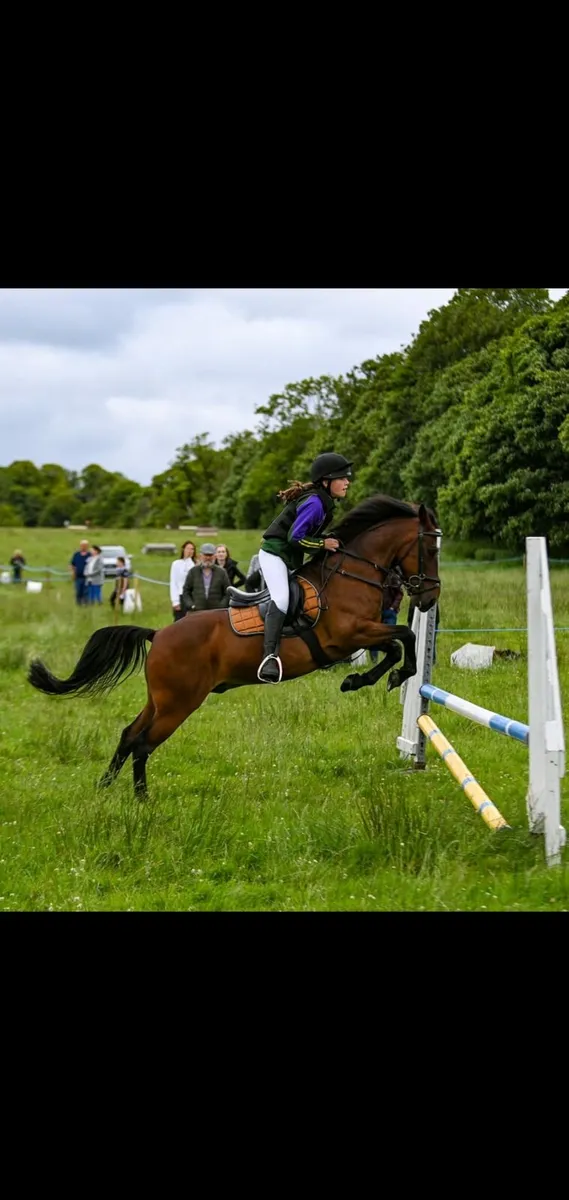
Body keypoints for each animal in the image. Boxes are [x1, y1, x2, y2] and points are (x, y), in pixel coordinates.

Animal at [28, 495, 441, 798]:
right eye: (432, 550)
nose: (430, 597)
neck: (348, 577)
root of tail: (158, 634)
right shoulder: (348, 636)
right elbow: (402, 637)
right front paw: (381, 677)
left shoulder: (361, 635)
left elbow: (397, 642)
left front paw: (369, 679)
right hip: (179, 703)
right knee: (143, 744)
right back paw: (142, 800)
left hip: (159, 699)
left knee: (130, 734)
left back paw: (105, 788)